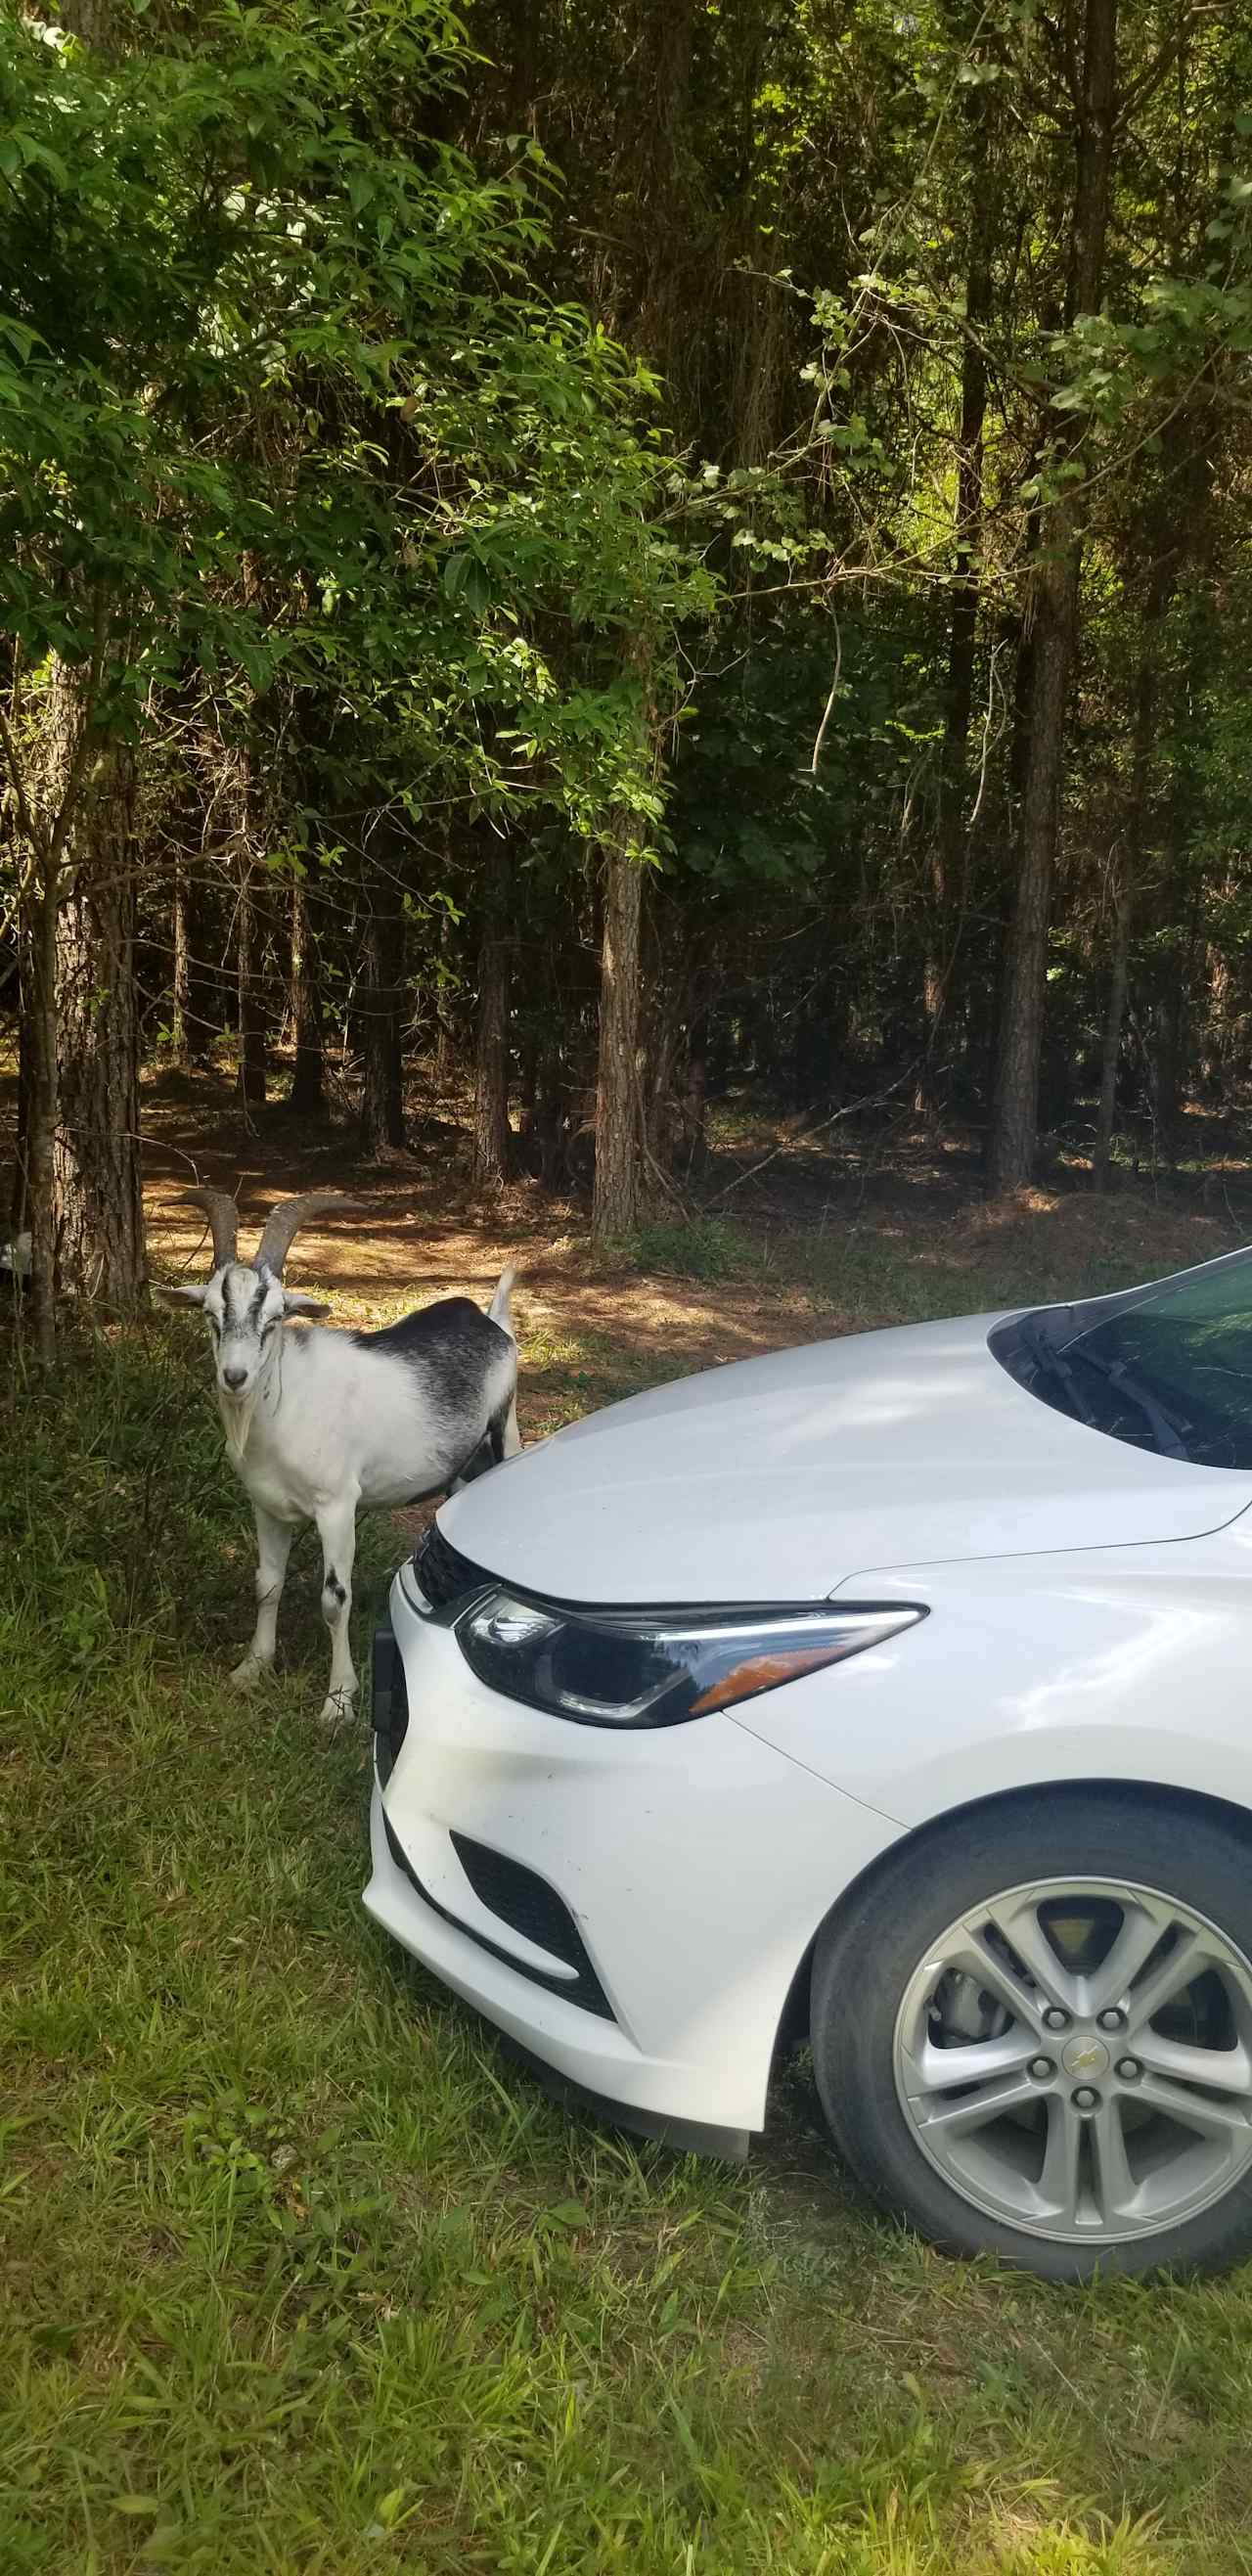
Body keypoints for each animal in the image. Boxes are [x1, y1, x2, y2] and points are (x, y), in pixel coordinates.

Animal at [161, 1190, 517, 1720]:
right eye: (210, 1315)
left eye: (274, 1318)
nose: (235, 1376)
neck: (285, 1404)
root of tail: (488, 1320)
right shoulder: (266, 1506)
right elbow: (267, 1583)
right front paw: (252, 1668)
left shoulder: (336, 1506)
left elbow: (335, 1598)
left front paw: (339, 1701)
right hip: (460, 1466)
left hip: (505, 1430)